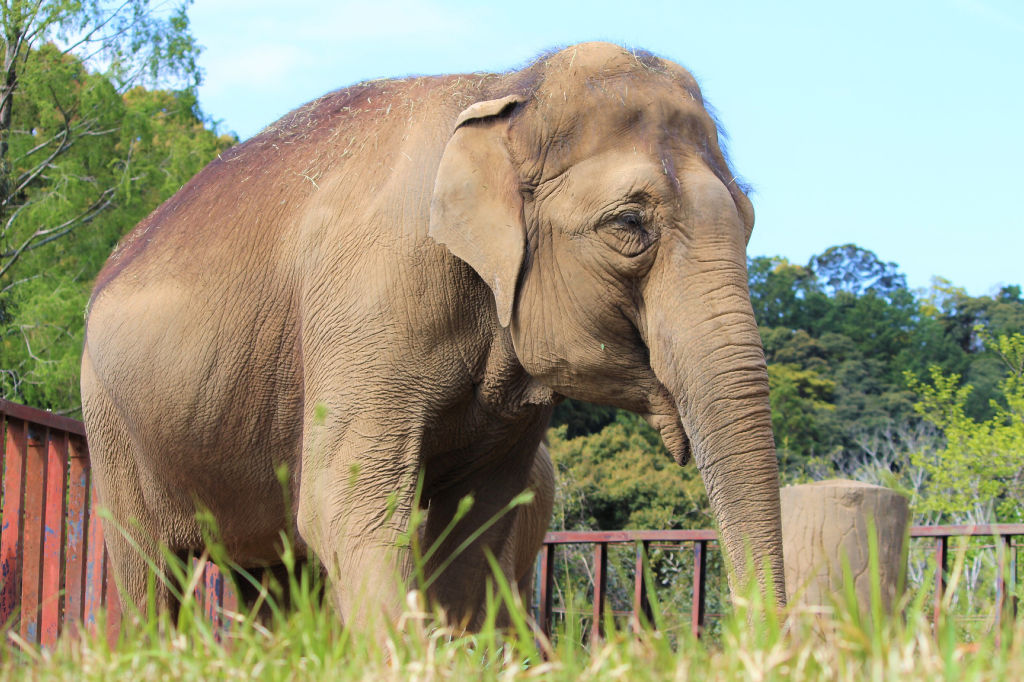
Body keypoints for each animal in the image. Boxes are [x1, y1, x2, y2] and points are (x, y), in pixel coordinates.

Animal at [81, 41, 782, 626]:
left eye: (750, 220)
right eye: (630, 225)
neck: (503, 92)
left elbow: (480, 522)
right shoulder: (372, 293)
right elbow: (344, 505)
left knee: (273, 574)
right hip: (112, 426)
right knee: (149, 570)